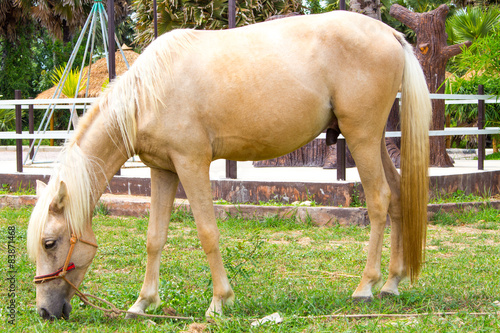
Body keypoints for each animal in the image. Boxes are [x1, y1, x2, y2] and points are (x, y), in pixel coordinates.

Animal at [27, 11, 430, 320]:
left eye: (50, 243)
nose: (45, 312)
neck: (148, 94)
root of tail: (391, 34)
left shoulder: (191, 164)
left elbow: (208, 232)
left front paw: (220, 302)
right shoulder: (163, 170)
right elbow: (155, 238)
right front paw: (143, 303)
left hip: (361, 137)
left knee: (378, 200)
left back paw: (366, 287)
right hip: (373, 141)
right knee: (396, 195)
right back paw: (392, 283)